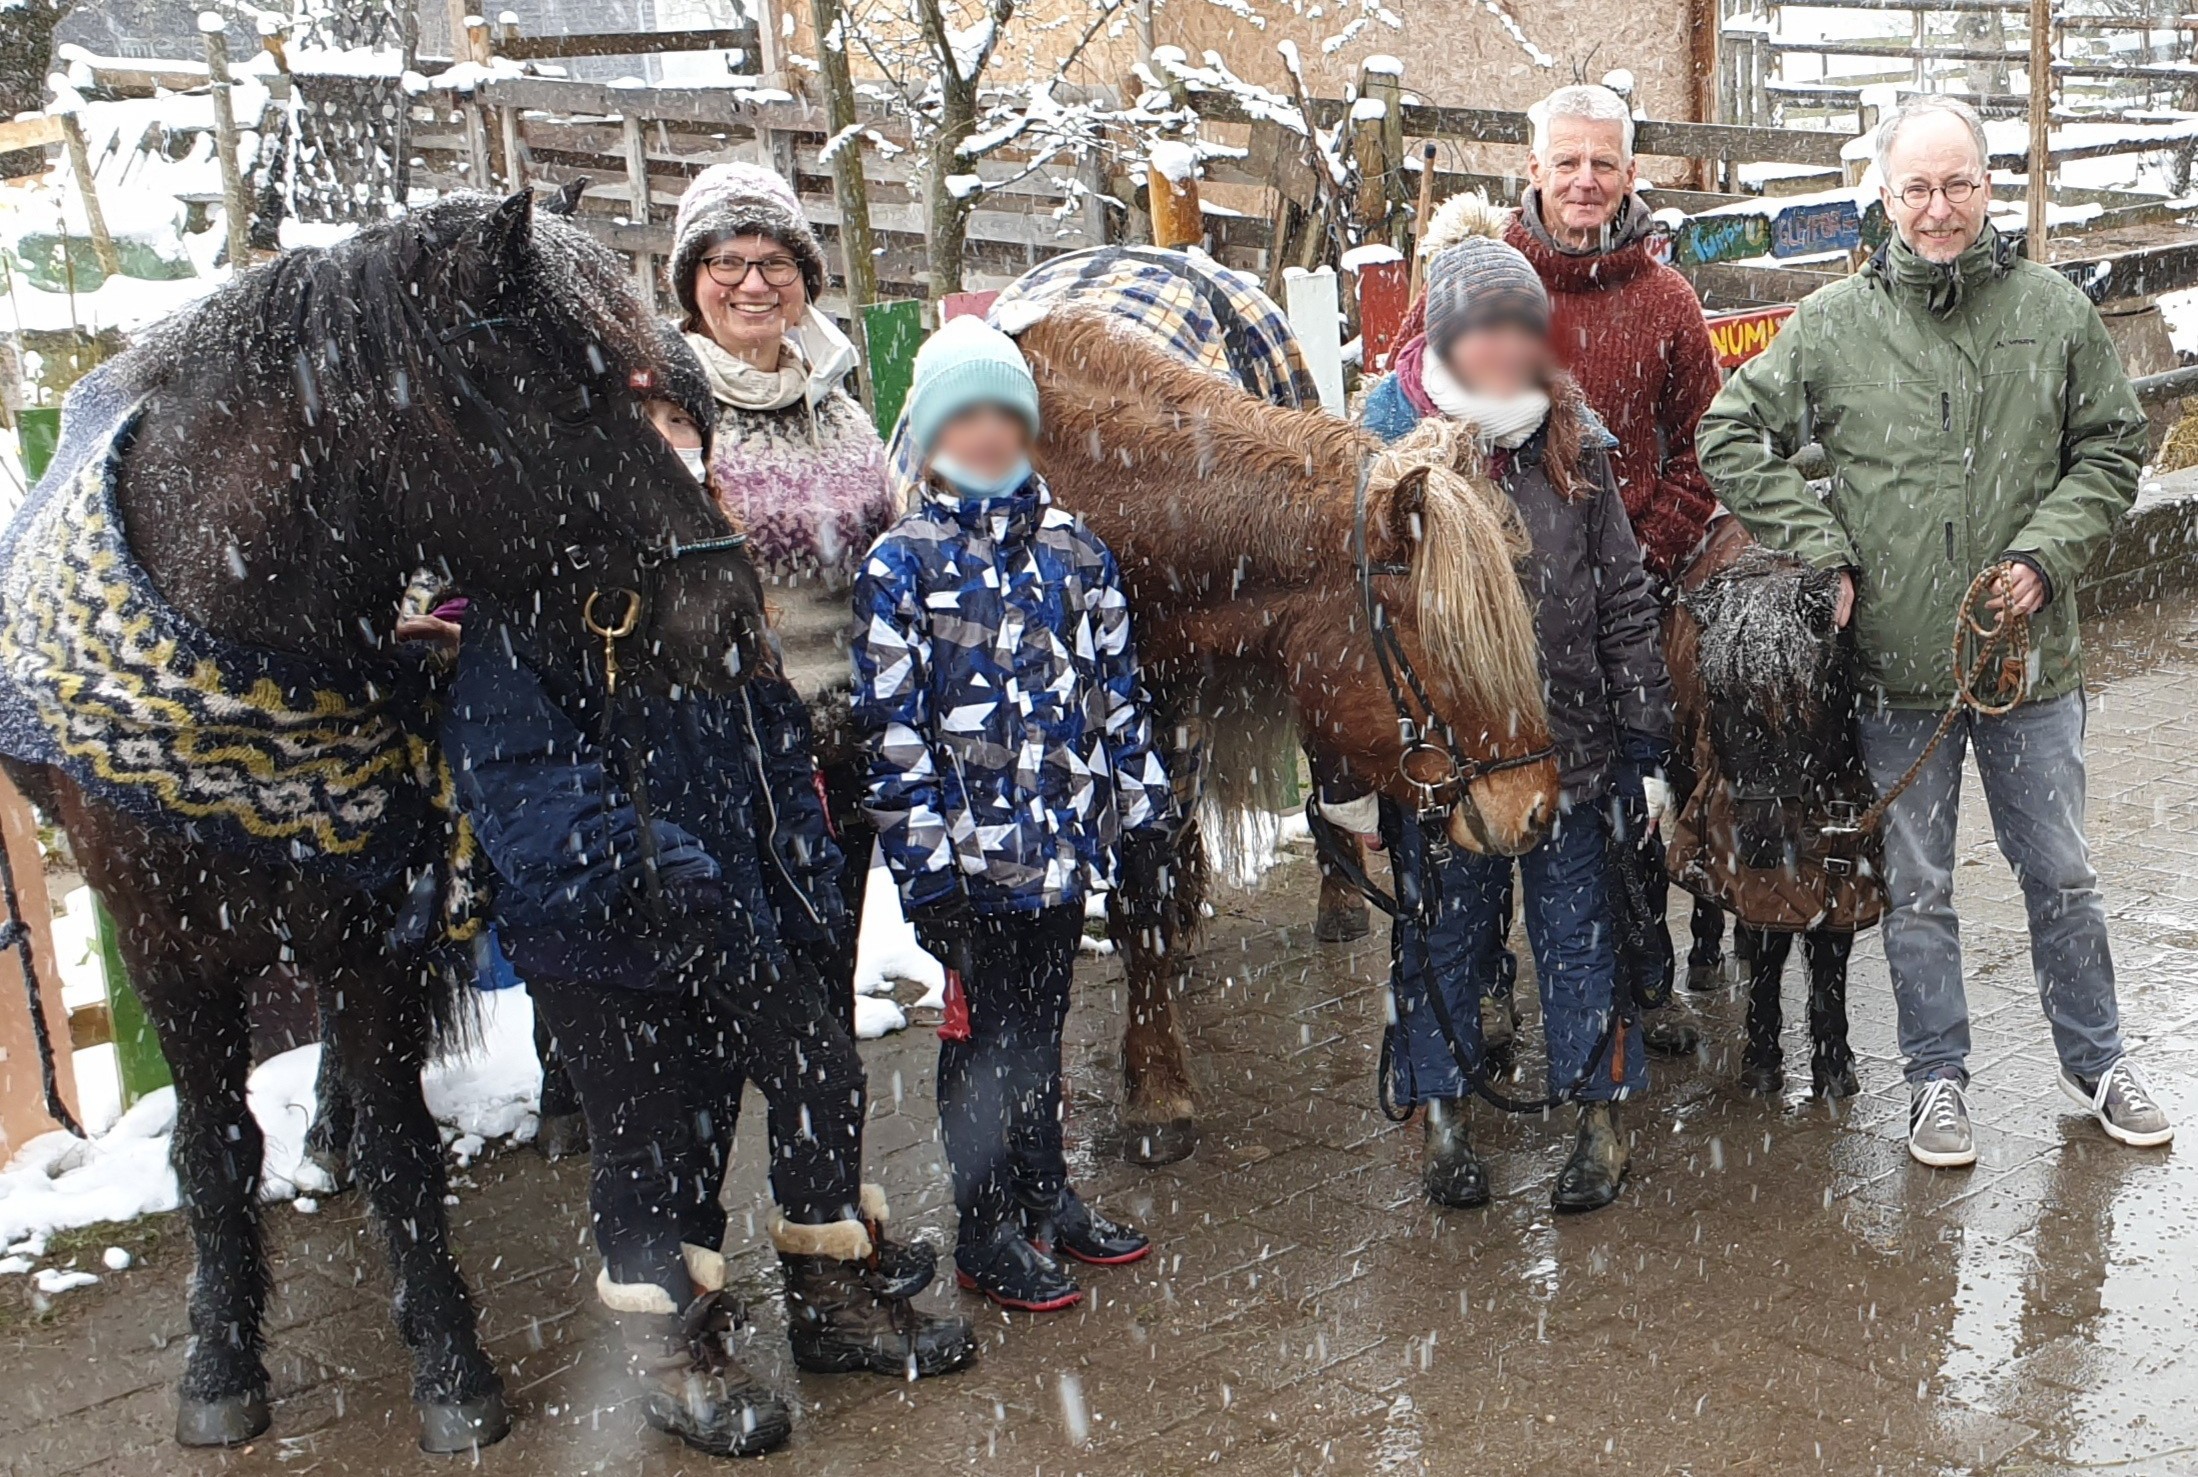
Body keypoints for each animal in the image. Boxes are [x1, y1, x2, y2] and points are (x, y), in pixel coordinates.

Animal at [0, 195, 769, 1450]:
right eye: (568, 399)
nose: (733, 612)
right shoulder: (167, 949)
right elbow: (212, 1153)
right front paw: (221, 1362)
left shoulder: (368, 932)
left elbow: (407, 1154)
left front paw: (450, 1364)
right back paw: (328, 1130)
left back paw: (550, 1105)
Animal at [1015, 314, 1564, 1169]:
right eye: (1441, 640)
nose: (1536, 807)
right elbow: (1135, 888)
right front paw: (1157, 1089)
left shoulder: (1172, 706)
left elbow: (1154, 866)